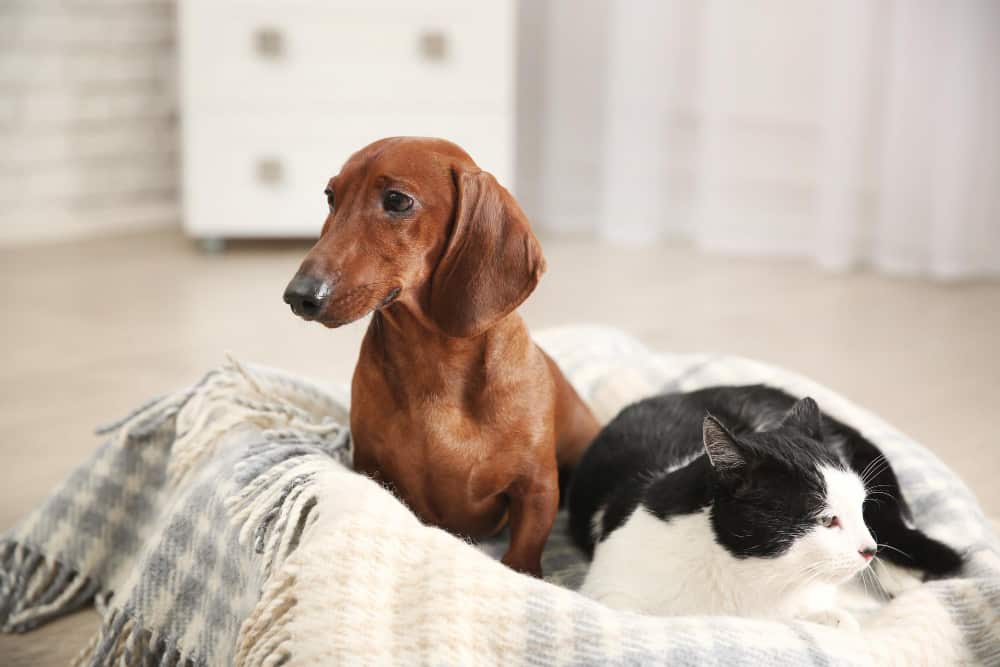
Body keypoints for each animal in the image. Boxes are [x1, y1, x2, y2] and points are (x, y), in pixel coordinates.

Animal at [288, 137, 600, 580]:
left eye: (397, 200)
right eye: (331, 196)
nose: (299, 296)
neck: (437, 366)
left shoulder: (537, 488)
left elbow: (523, 553)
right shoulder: (371, 469)